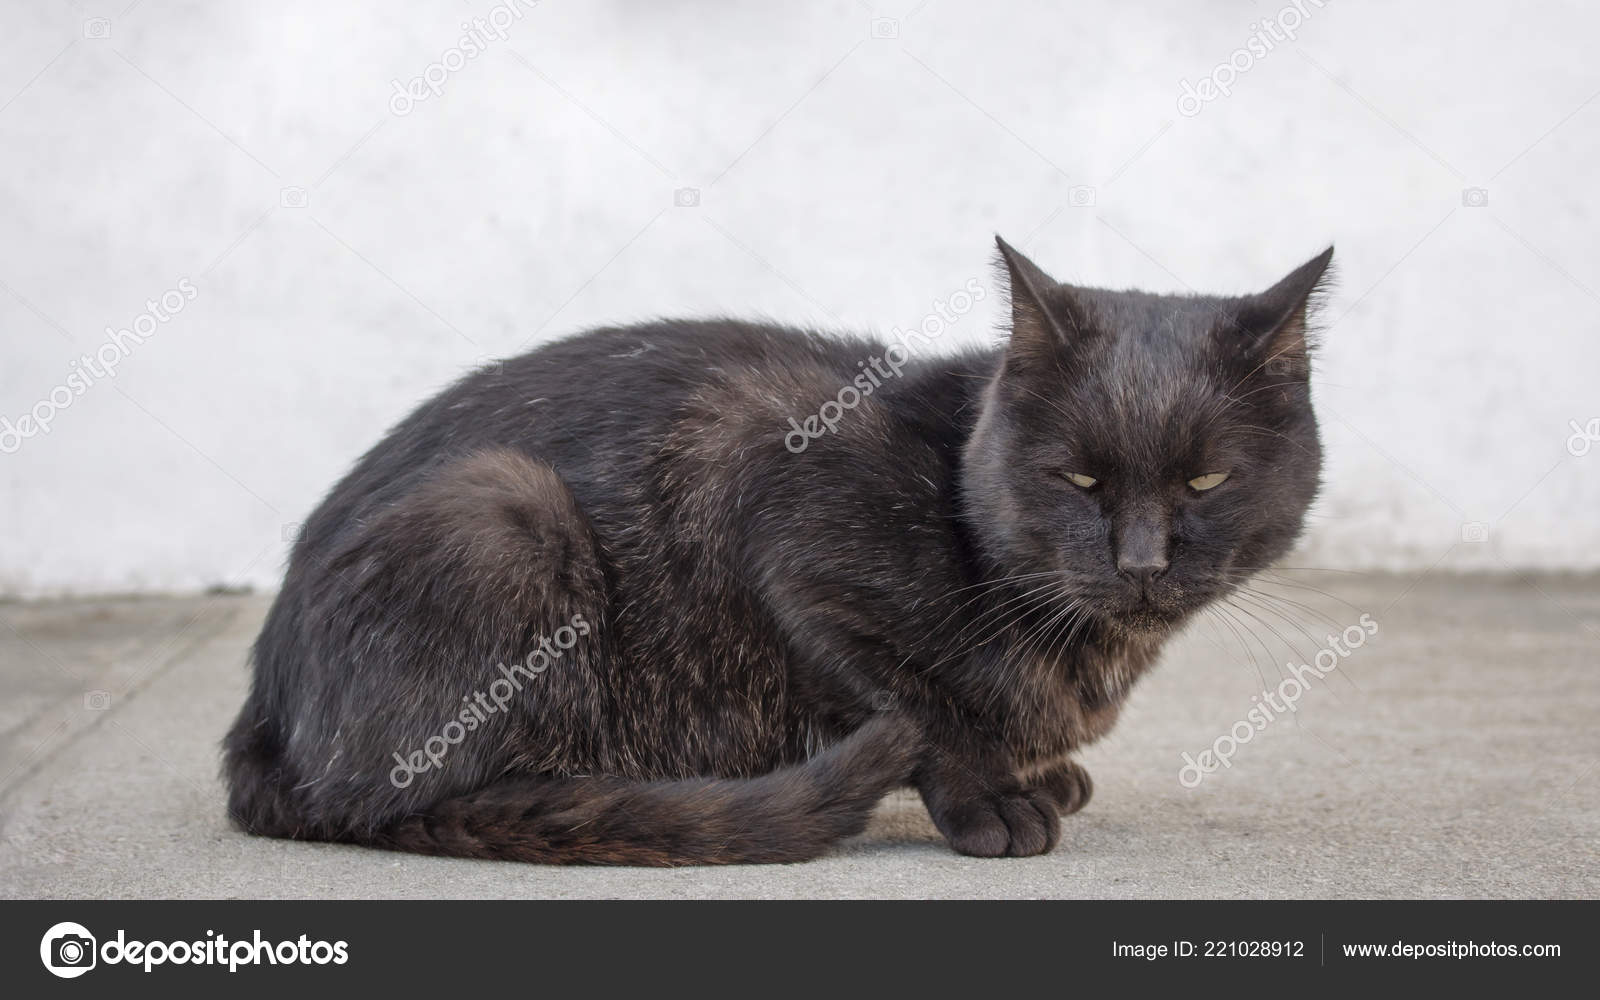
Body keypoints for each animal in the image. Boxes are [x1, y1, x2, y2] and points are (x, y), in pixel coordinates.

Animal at [222, 238, 1324, 864]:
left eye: (1205, 483)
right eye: (1080, 479)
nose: (1140, 562)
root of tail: (261, 716)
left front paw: (1037, 773)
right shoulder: (778, 517)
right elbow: (918, 701)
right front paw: (988, 798)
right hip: (500, 509)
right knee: (406, 797)